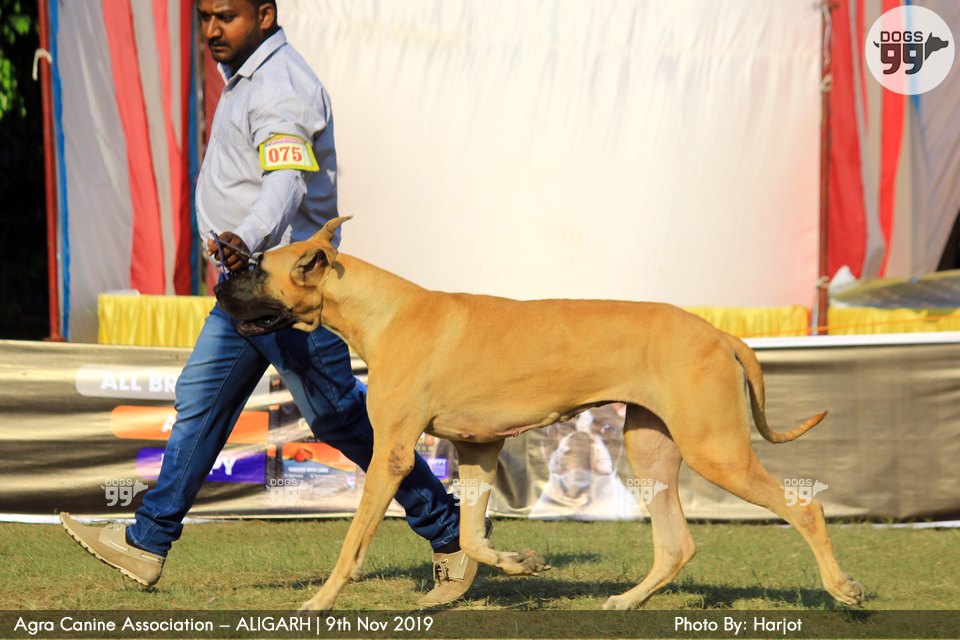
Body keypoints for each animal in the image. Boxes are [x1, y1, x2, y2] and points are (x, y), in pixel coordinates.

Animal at [215, 217, 864, 611]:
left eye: (254, 269)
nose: (217, 289)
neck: (384, 311)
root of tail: (720, 332)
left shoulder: (392, 454)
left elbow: (354, 541)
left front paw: (321, 600)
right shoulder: (477, 449)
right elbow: (472, 536)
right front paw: (517, 562)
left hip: (716, 450)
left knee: (804, 507)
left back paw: (843, 588)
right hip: (652, 450)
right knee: (676, 544)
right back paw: (628, 600)